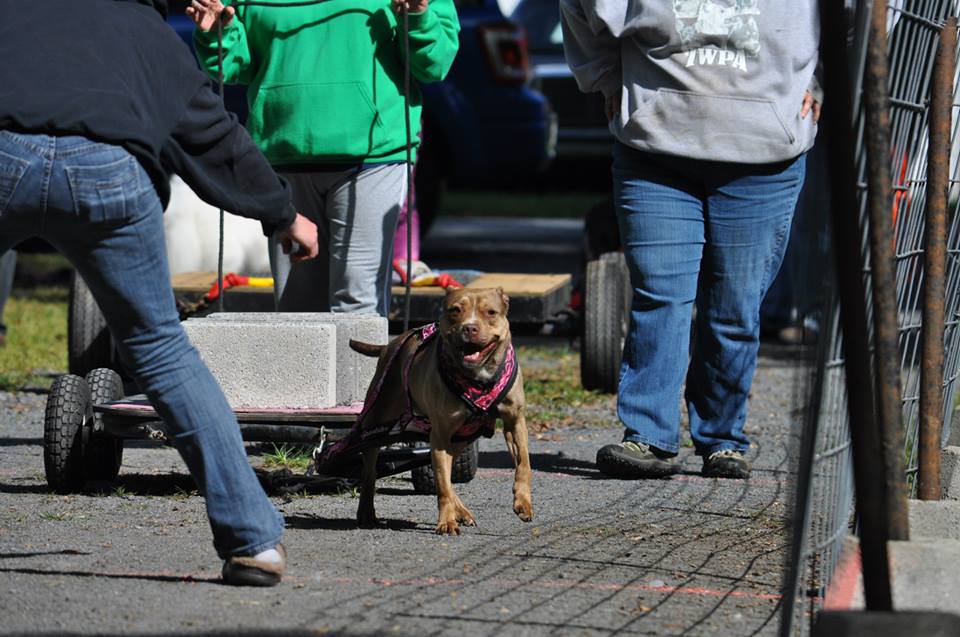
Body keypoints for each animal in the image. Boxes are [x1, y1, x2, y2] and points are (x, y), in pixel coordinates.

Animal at [344, 286, 532, 536]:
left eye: (491, 312)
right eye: (455, 310)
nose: (469, 327)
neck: (478, 379)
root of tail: (390, 345)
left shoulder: (515, 422)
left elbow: (524, 464)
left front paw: (523, 502)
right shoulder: (440, 434)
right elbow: (442, 484)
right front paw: (446, 522)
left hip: (462, 436)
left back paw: (461, 510)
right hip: (377, 420)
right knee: (370, 470)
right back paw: (366, 511)